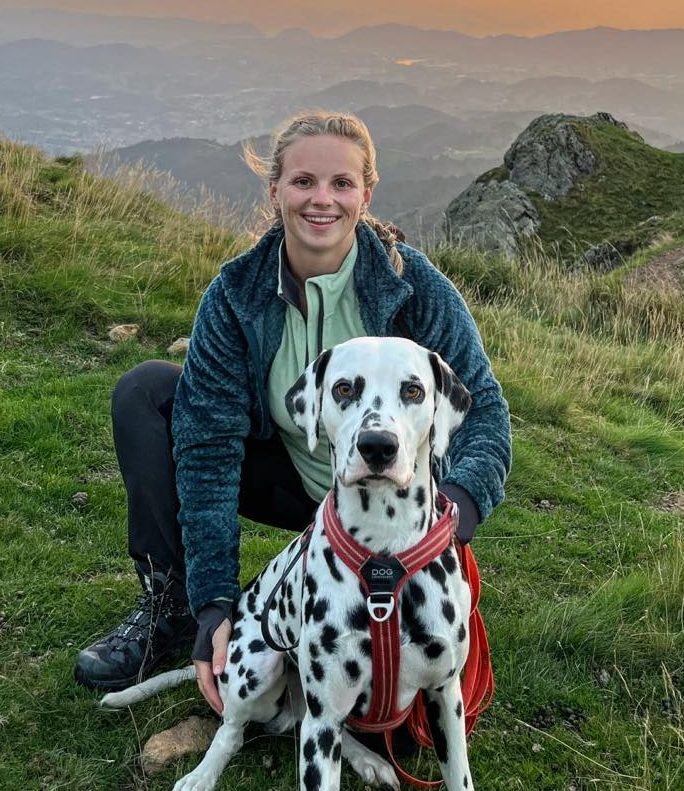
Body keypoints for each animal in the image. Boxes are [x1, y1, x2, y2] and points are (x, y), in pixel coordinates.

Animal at [102, 336, 474, 791]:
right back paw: (202, 774)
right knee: (231, 730)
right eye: (344, 389)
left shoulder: (446, 698)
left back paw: (370, 759)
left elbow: (459, 775)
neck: (384, 557)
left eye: (413, 390)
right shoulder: (324, 716)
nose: (377, 446)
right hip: (259, 667)